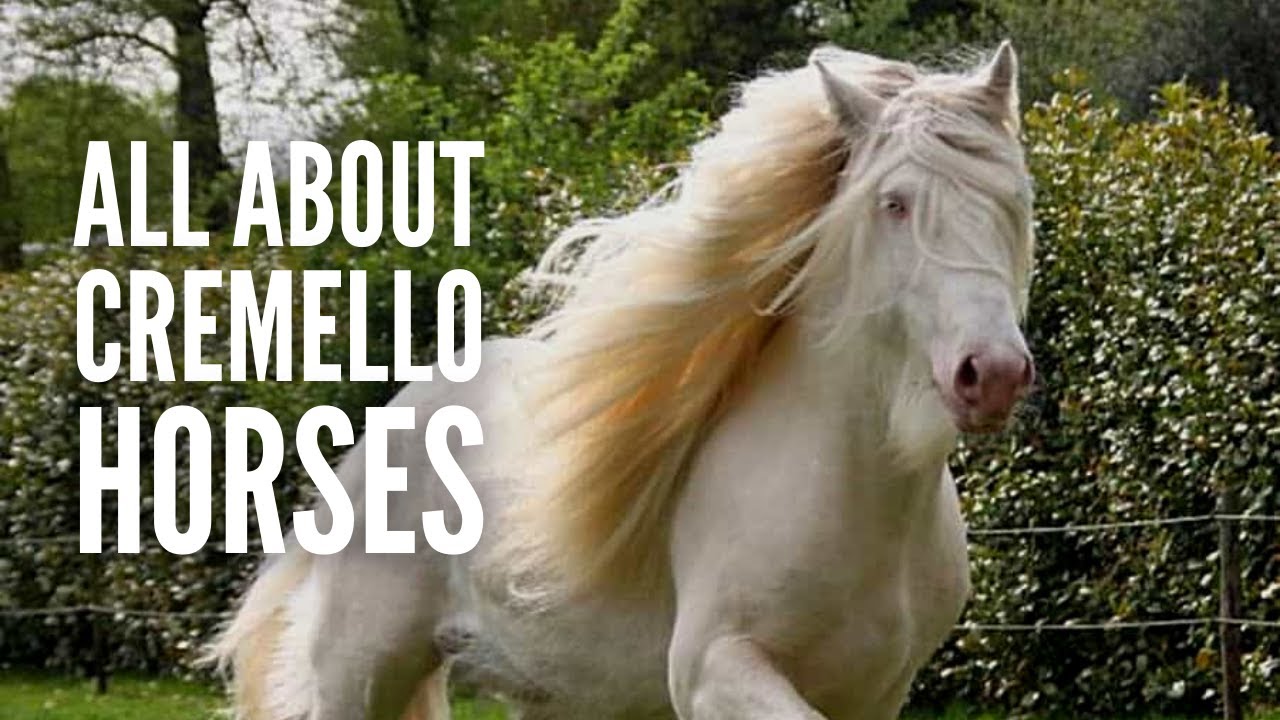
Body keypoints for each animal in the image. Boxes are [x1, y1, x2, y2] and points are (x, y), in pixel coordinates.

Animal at [211, 41, 1037, 720]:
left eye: (1014, 200)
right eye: (894, 204)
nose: (991, 374)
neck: (855, 494)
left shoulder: (876, 695)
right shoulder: (713, 671)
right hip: (362, 671)